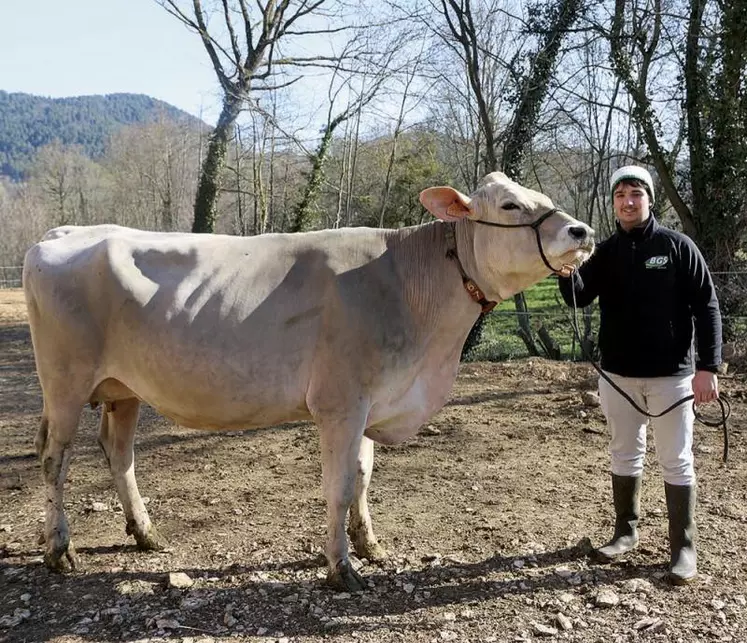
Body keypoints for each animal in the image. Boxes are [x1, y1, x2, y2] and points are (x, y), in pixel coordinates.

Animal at [23, 171, 592, 588]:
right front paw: (342, 568)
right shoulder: (341, 401)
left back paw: (145, 534)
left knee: (119, 453)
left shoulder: (372, 400)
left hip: (124, 389)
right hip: (64, 382)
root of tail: (64, 233)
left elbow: (362, 476)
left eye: (544, 198)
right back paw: (59, 550)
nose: (582, 232)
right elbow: (338, 487)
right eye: (511, 206)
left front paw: (370, 544)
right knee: (55, 458)